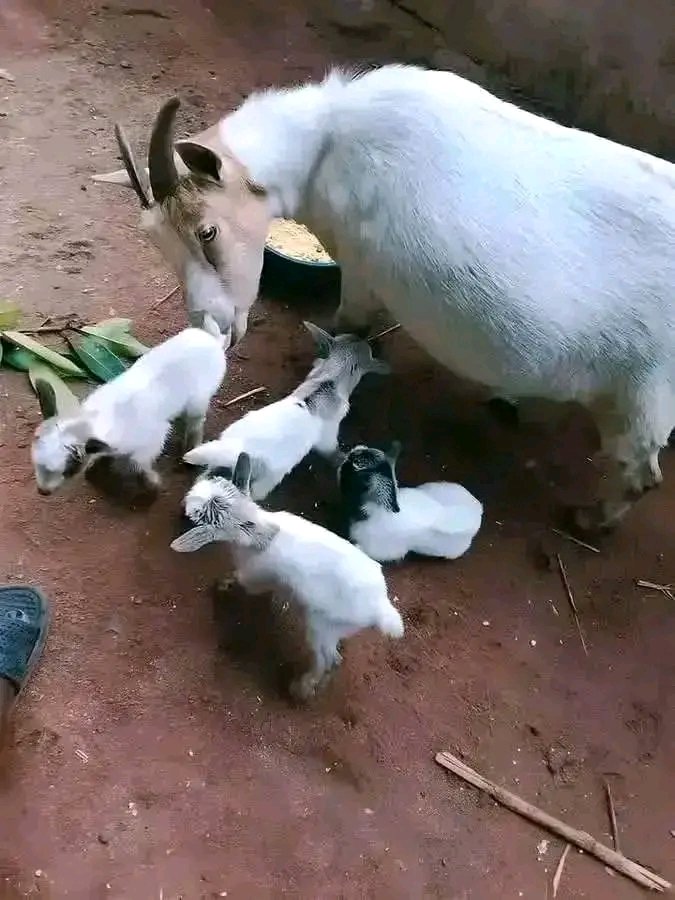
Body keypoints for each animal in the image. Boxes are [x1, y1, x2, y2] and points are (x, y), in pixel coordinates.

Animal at [31, 316, 229, 495]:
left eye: (69, 469)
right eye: (36, 460)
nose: (43, 491)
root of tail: (213, 340)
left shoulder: (154, 438)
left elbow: (138, 463)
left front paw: (151, 483)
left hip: (199, 399)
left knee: (196, 421)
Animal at [171, 452, 404, 700]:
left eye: (202, 518)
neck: (260, 534)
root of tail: (381, 609)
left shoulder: (253, 576)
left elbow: (241, 580)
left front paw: (223, 584)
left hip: (321, 627)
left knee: (329, 660)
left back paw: (302, 689)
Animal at [182, 321, 389, 500]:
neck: (330, 380)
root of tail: (238, 449)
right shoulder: (328, 438)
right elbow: (332, 451)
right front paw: (344, 458)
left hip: (219, 455)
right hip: (266, 480)